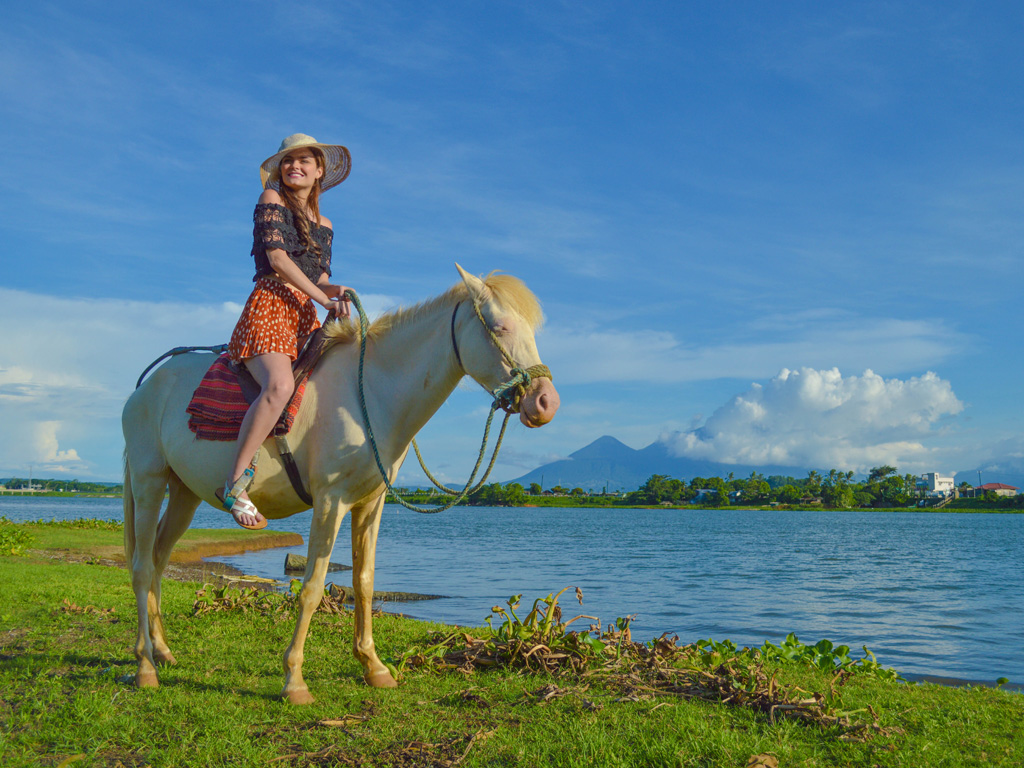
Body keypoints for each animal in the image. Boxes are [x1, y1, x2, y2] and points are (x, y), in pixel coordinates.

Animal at [123, 268, 565, 708]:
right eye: (499, 326)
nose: (546, 403)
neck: (370, 393)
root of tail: (143, 388)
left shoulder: (370, 503)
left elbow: (364, 581)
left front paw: (374, 667)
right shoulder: (330, 502)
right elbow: (312, 587)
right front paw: (295, 681)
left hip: (184, 493)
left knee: (159, 558)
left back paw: (163, 651)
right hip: (148, 481)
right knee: (142, 566)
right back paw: (145, 667)